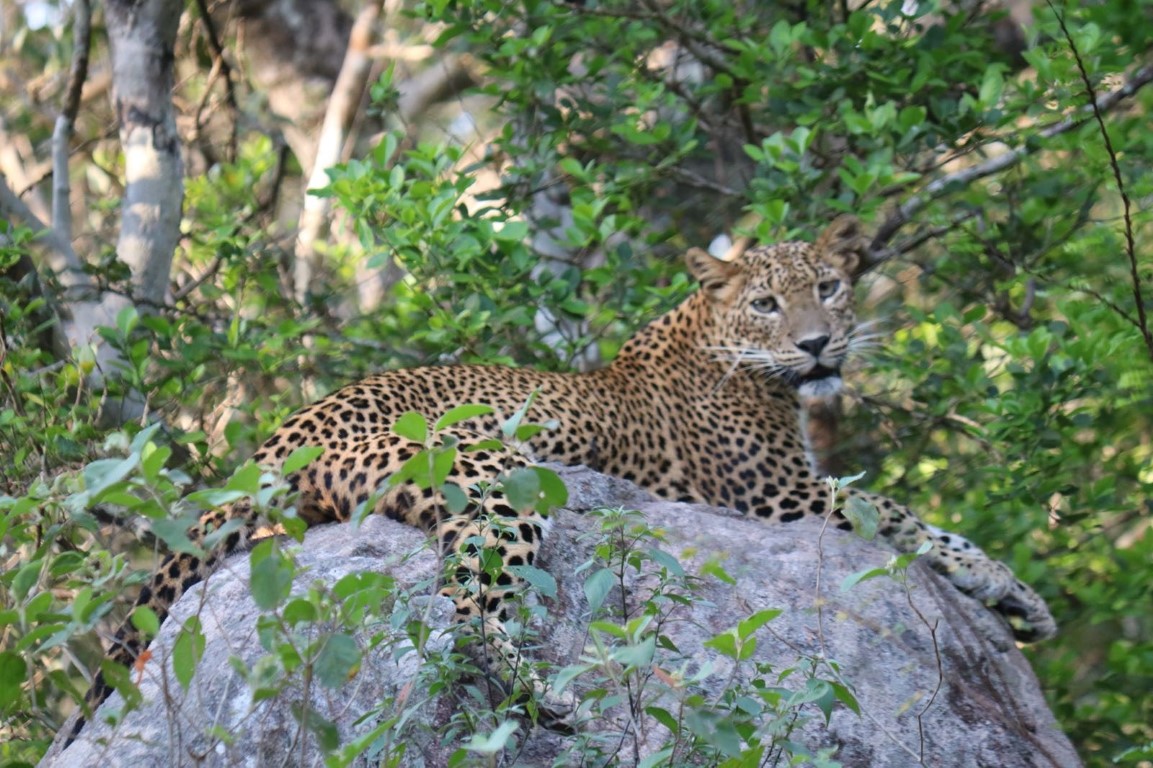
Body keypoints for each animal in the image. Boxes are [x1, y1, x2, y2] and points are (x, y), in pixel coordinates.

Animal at [72, 215, 1055, 741]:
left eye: (830, 286)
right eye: (766, 303)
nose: (817, 345)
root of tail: (276, 439)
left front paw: (1018, 600)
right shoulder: (773, 494)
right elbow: (900, 514)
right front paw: (1005, 585)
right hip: (499, 478)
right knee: (464, 607)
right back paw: (550, 704)